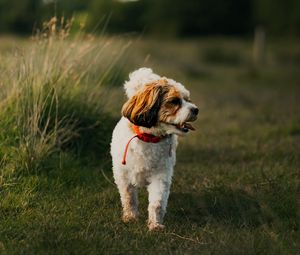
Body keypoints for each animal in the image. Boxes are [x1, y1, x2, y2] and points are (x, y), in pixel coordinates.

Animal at [111, 67, 198, 231]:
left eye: (188, 100)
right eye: (174, 101)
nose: (196, 109)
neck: (149, 138)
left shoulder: (160, 176)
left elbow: (157, 203)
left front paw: (155, 225)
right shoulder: (124, 175)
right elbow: (129, 197)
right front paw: (130, 217)